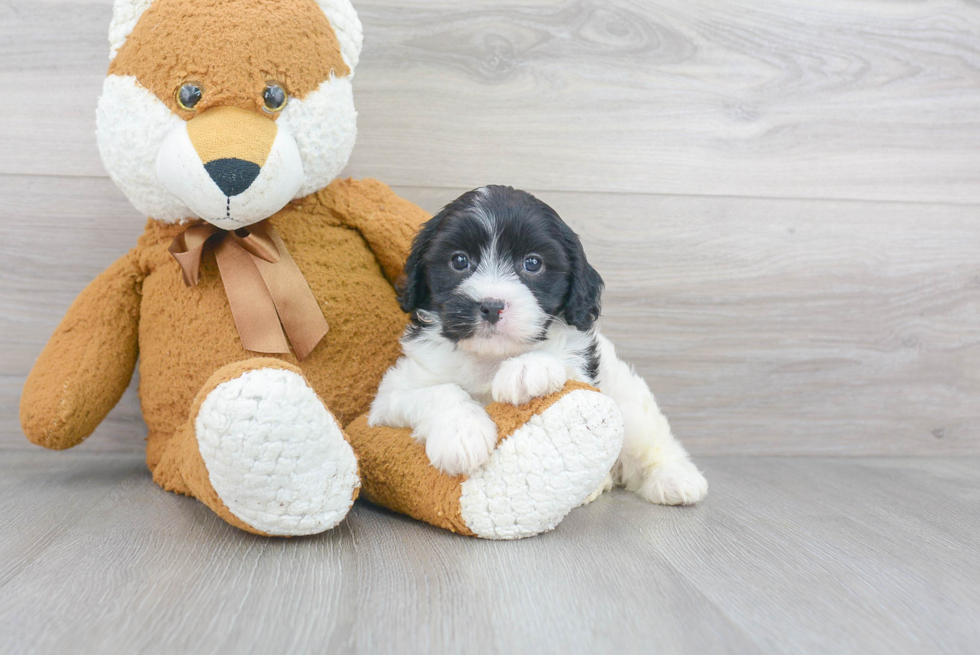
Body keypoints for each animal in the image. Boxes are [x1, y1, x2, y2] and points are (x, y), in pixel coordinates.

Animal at [372, 186, 708, 508]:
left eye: (532, 263)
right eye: (459, 261)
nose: (492, 306)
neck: (490, 357)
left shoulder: (582, 371)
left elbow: (555, 360)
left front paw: (525, 368)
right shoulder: (388, 398)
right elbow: (438, 391)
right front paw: (462, 435)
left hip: (629, 401)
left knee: (652, 440)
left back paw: (674, 479)